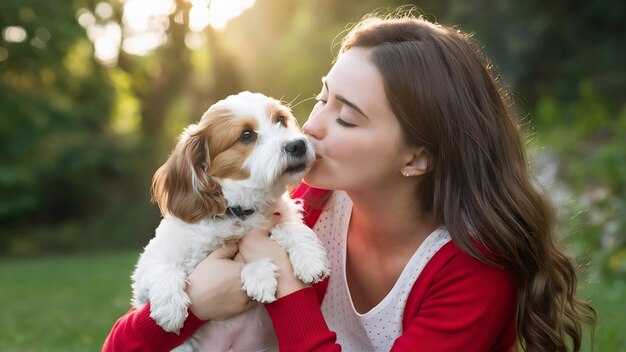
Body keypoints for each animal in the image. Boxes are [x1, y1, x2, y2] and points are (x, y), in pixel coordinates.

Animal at [130, 92, 330, 350]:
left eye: (280, 120)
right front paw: (170, 308)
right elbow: (163, 269)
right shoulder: (143, 277)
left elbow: (291, 228)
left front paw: (308, 258)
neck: (241, 212)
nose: (298, 144)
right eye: (246, 135)